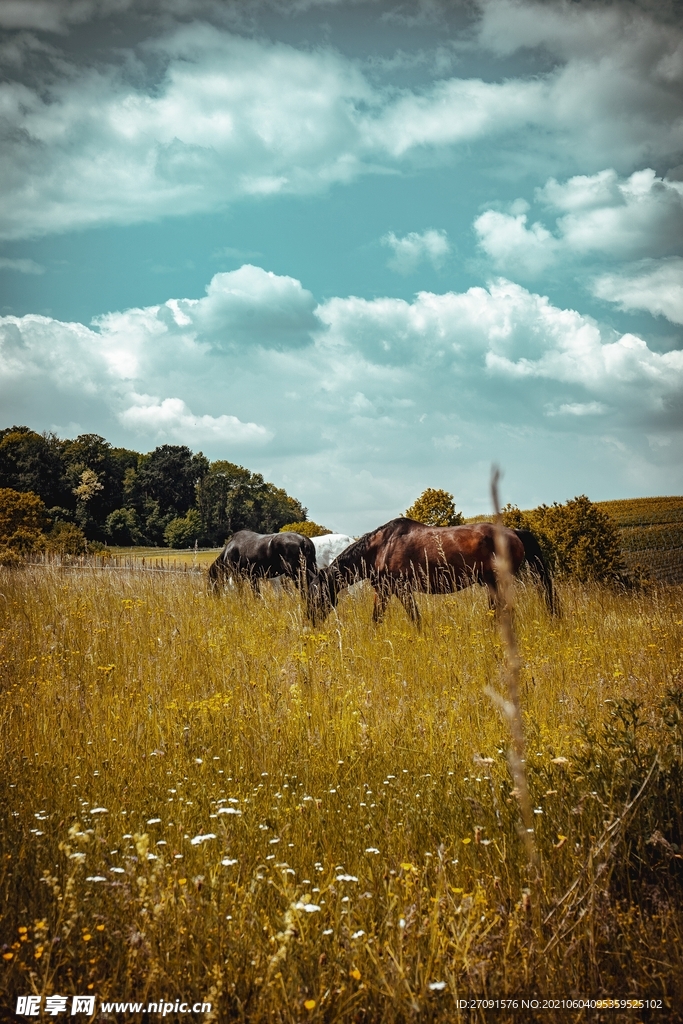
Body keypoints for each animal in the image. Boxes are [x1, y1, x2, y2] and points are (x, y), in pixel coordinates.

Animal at [309, 520, 557, 622]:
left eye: (316, 596)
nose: (310, 621)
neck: (381, 547)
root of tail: (514, 533)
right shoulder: (386, 590)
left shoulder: (398, 589)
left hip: (497, 583)